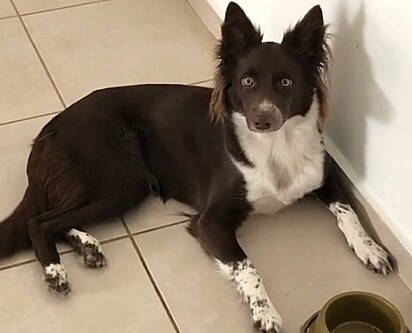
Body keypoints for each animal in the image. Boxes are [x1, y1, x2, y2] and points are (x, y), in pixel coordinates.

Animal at [0, 1, 392, 330]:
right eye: (247, 81)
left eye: (286, 81)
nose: (262, 119)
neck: (275, 147)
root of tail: (52, 125)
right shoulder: (209, 221)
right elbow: (247, 264)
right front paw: (265, 311)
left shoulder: (325, 174)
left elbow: (348, 211)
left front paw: (371, 248)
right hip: (124, 181)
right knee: (39, 222)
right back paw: (56, 271)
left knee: (58, 216)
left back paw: (87, 245)